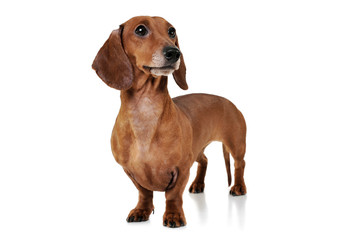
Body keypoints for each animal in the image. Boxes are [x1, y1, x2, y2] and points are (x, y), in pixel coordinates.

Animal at [91, 15, 246, 228]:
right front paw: (141, 210)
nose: (174, 52)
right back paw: (198, 184)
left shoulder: (181, 168)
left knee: (240, 164)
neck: (145, 111)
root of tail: (229, 102)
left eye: (172, 31)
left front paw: (173, 215)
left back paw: (238, 187)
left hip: (235, 144)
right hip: (197, 148)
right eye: (140, 30)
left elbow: (172, 195)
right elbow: (144, 192)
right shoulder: (130, 171)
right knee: (204, 160)